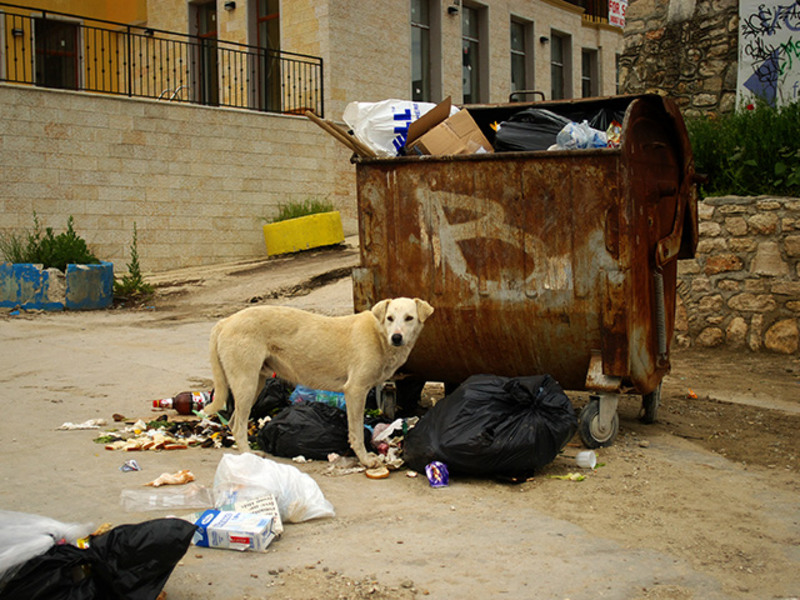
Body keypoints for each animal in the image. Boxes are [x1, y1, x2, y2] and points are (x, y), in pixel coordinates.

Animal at [204, 297, 434, 467]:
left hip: (255, 383)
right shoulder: (355, 390)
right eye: (390, 318)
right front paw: (365, 460)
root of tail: (226, 321)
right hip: (246, 383)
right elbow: (357, 432)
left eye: (409, 318)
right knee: (238, 425)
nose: (396, 337)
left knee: (233, 422)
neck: (380, 335)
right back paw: (249, 456)